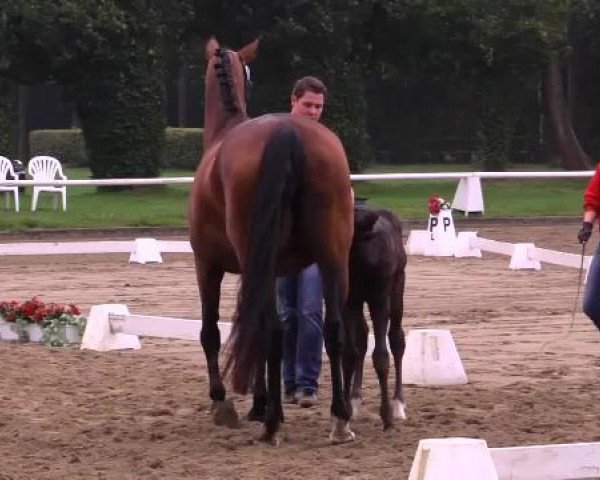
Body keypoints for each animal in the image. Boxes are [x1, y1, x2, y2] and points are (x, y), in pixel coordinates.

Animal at [189, 38, 356, 446]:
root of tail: (288, 132)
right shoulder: (272, 270)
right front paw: (258, 403)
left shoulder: (207, 265)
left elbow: (212, 331)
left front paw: (225, 402)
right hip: (332, 258)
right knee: (333, 329)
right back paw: (340, 418)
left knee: (272, 330)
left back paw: (272, 424)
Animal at [342, 204, 408, 430]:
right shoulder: (350, 301)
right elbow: (350, 352)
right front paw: (345, 410)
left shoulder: (379, 300)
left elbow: (381, 356)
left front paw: (386, 415)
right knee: (362, 338)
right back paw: (355, 399)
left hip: (397, 288)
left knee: (397, 339)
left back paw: (398, 404)